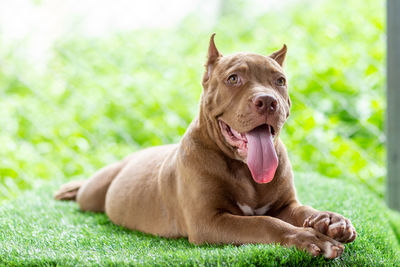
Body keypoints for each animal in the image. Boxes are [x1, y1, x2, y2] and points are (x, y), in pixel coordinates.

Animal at [55, 33, 356, 260]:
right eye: (233, 78)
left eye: (280, 81)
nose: (268, 101)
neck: (244, 169)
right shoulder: (209, 221)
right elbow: (265, 223)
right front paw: (310, 237)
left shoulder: (285, 204)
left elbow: (302, 210)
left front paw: (330, 221)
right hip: (95, 193)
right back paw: (70, 189)